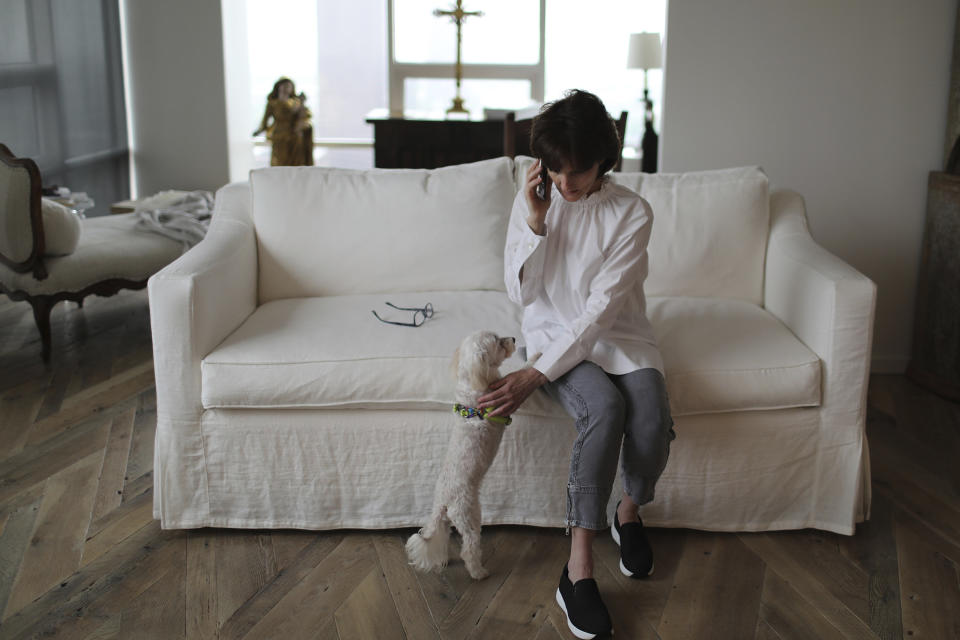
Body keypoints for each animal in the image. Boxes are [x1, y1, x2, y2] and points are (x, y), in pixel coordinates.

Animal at [408, 330, 520, 580]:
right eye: (498, 342)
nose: (514, 339)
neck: (472, 385)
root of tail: (444, 501)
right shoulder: (502, 403)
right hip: (470, 515)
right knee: (469, 547)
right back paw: (479, 572)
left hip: (446, 522)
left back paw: (442, 560)